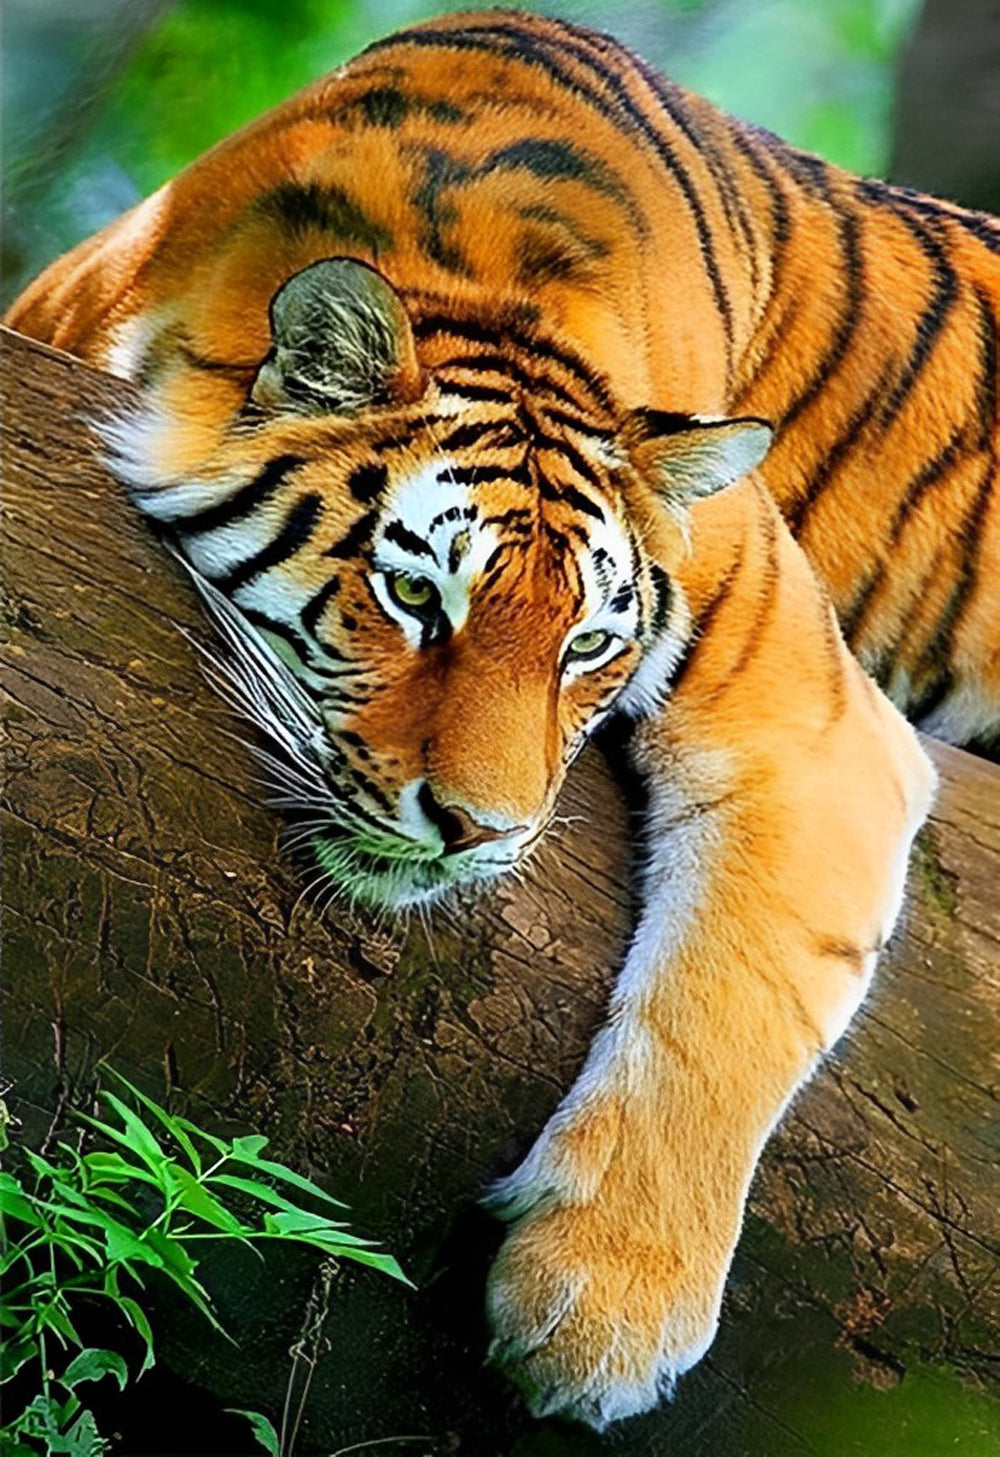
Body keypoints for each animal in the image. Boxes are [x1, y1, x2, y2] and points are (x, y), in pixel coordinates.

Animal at [7, 7, 994, 1432]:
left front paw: (601, 1312)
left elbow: (732, 1002)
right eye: (417, 594)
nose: (477, 829)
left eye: (585, 645)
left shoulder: (815, 723)